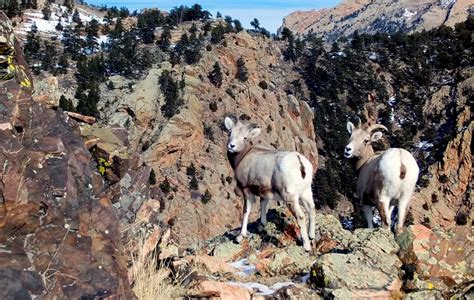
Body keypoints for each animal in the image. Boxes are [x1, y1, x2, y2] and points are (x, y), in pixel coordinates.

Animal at [224, 116, 316, 252]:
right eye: (230, 132)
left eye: (245, 138)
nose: (232, 146)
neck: (243, 157)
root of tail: (299, 161)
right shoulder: (264, 193)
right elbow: (263, 206)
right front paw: (261, 227)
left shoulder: (247, 191)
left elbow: (246, 211)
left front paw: (239, 237)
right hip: (306, 192)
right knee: (311, 209)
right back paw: (311, 236)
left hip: (290, 197)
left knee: (300, 216)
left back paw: (306, 246)